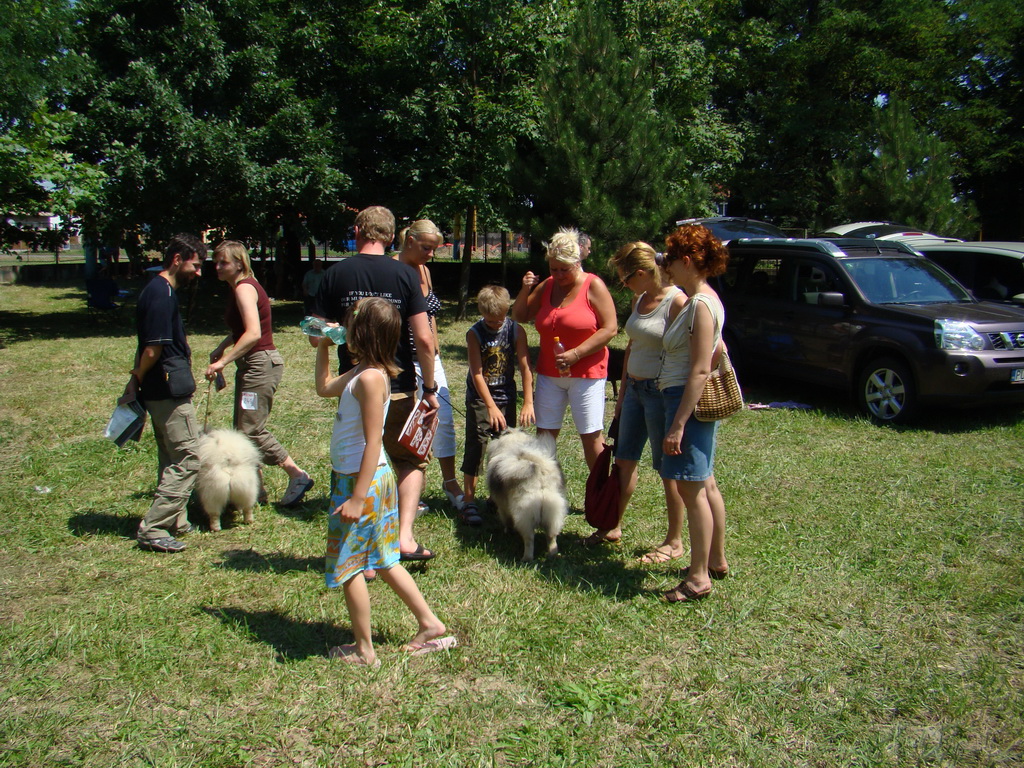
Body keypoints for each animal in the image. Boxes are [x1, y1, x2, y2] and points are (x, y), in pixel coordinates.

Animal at [485, 430, 569, 561]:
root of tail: (540, 481)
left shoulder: (503, 506)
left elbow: (507, 520)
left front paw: (508, 531)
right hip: (554, 513)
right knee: (551, 537)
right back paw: (552, 555)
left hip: (524, 516)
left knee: (529, 540)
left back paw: (526, 558)